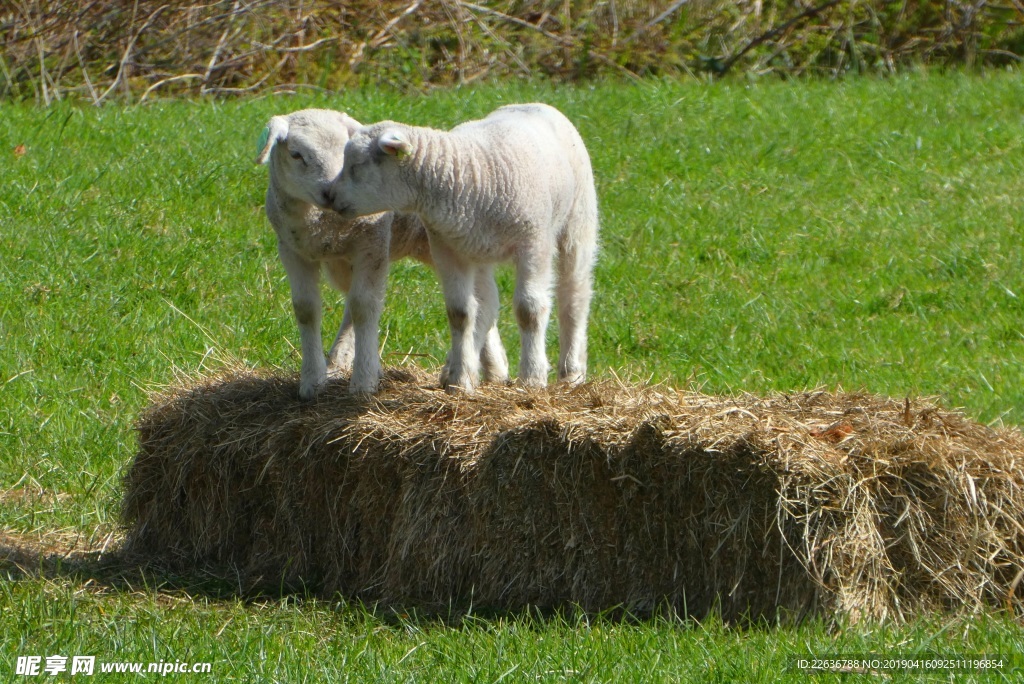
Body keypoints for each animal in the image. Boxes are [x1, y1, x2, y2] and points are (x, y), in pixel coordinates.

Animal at [258, 107, 509, 395]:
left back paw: (488, 369)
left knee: (481, 300)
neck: (322, 222)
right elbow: (306, 310)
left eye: (344, 152)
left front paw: (363, 381)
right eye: (296, 154)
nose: (329, 192)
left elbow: (364, 306)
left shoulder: (372, 243)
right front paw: (312, 380)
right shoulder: (292, 251)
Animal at [327, 100, 598, 389]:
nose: (330, 196)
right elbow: (460, 313)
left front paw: (532, 378)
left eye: (357, 165)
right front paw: (460, 379)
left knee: (574, 294)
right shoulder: (447, 249)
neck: (465, 174)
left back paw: (571, 371)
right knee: (486, 305)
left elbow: (529, 309)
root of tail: (533, 104)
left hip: (577, 221)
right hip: (477, 249)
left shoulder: (534, 243)